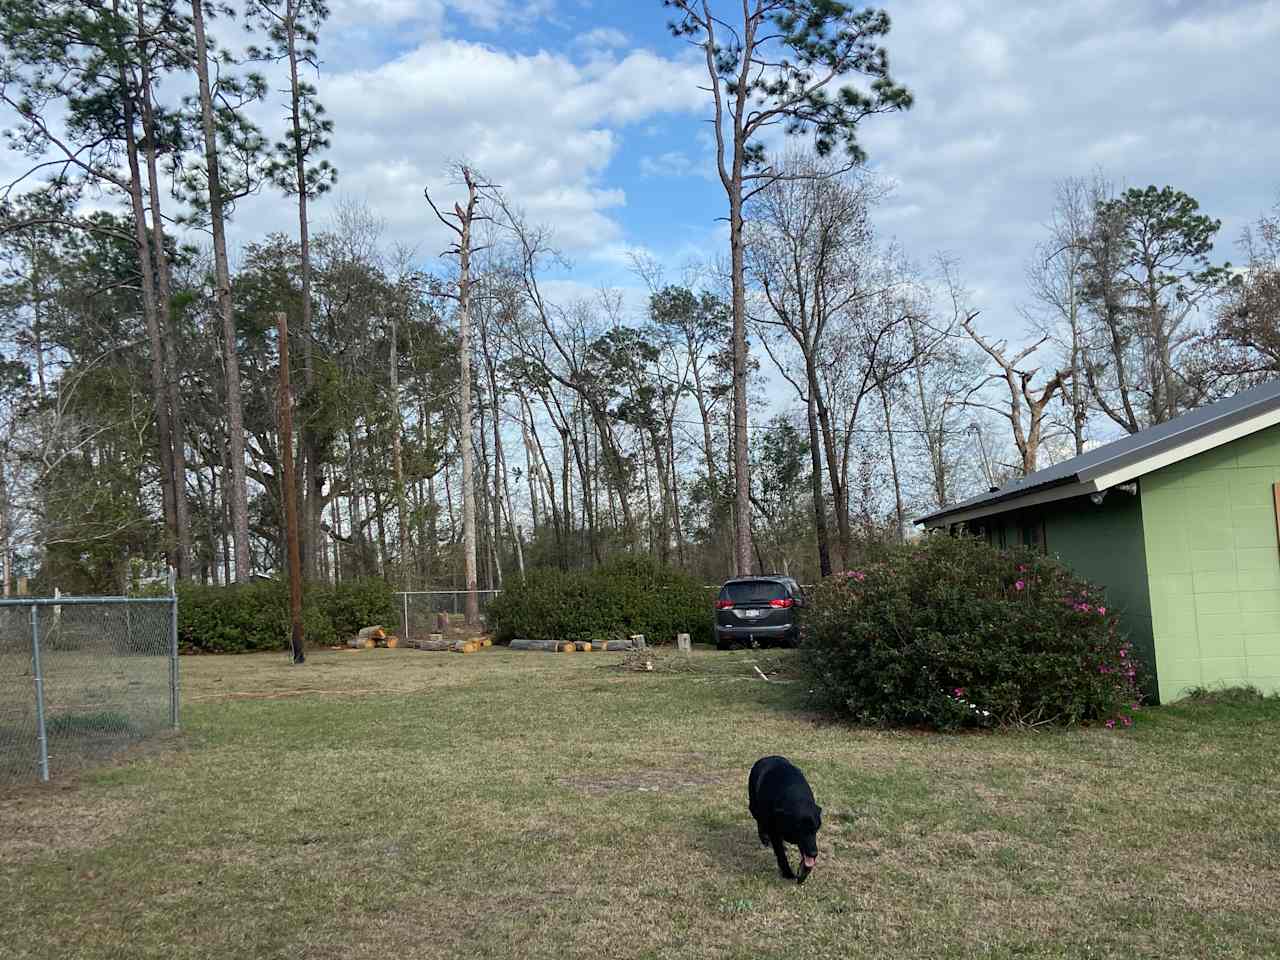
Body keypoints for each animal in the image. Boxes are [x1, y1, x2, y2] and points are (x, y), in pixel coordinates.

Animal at [747, 757, 824, 885]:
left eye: (815, 829)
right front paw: (787, 873)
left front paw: (803, 873)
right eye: (800, 830)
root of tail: (765, 758)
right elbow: (781, 855)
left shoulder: (808, 843)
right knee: (760, 822)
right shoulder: (774, 832)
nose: (814, 853)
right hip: (754, 808)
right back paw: (765, 839)